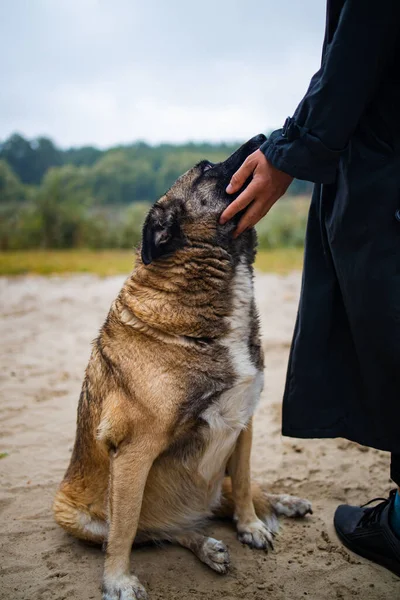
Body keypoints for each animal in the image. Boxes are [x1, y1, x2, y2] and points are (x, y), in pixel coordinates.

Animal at [53, 136, 314, 600]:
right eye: (207, 167)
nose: (265, 140)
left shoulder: (244, 422)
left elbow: (244, 482)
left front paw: (249, 526)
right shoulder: (134, 450)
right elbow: (123, 531)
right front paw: (117, 580)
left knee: (230, 497)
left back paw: (281, 504)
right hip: (71, 514)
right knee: (156, 531)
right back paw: (205, 544)